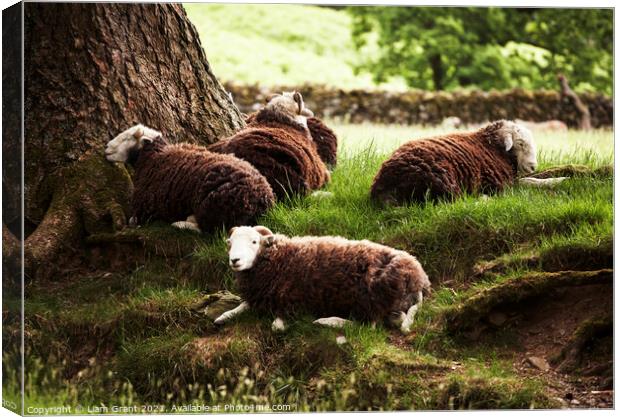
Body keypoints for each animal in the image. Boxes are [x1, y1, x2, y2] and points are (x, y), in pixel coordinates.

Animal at [104, 123, 274, 234]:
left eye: (126, 138)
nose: (106, 148)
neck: (153, 158)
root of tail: (263, 198)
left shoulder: (143, 209)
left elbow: (133, 221)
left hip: (212, 204)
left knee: (213, 230)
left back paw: (182, 224)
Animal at [213, 223, 432, 334]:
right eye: (229, 242)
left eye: (254, 241)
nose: (235, 260)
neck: (278, 258)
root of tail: (420, 279)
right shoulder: (260, 296)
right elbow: (241, 307)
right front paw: (224, 316)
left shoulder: (292, 299)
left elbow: (277, 325)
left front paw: (282, 324)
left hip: (371, 296)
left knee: (368, 326)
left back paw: (327, 321)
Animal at [370, 118, 564, 205]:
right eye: (521, 143)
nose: (533, 166)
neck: (492, 146)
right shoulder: (500, 183)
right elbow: (527, 182)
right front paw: (556, 181)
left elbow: (530, 179)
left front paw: (558, 179)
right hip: (442, 179)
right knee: (455, 202)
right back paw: (484, 199)